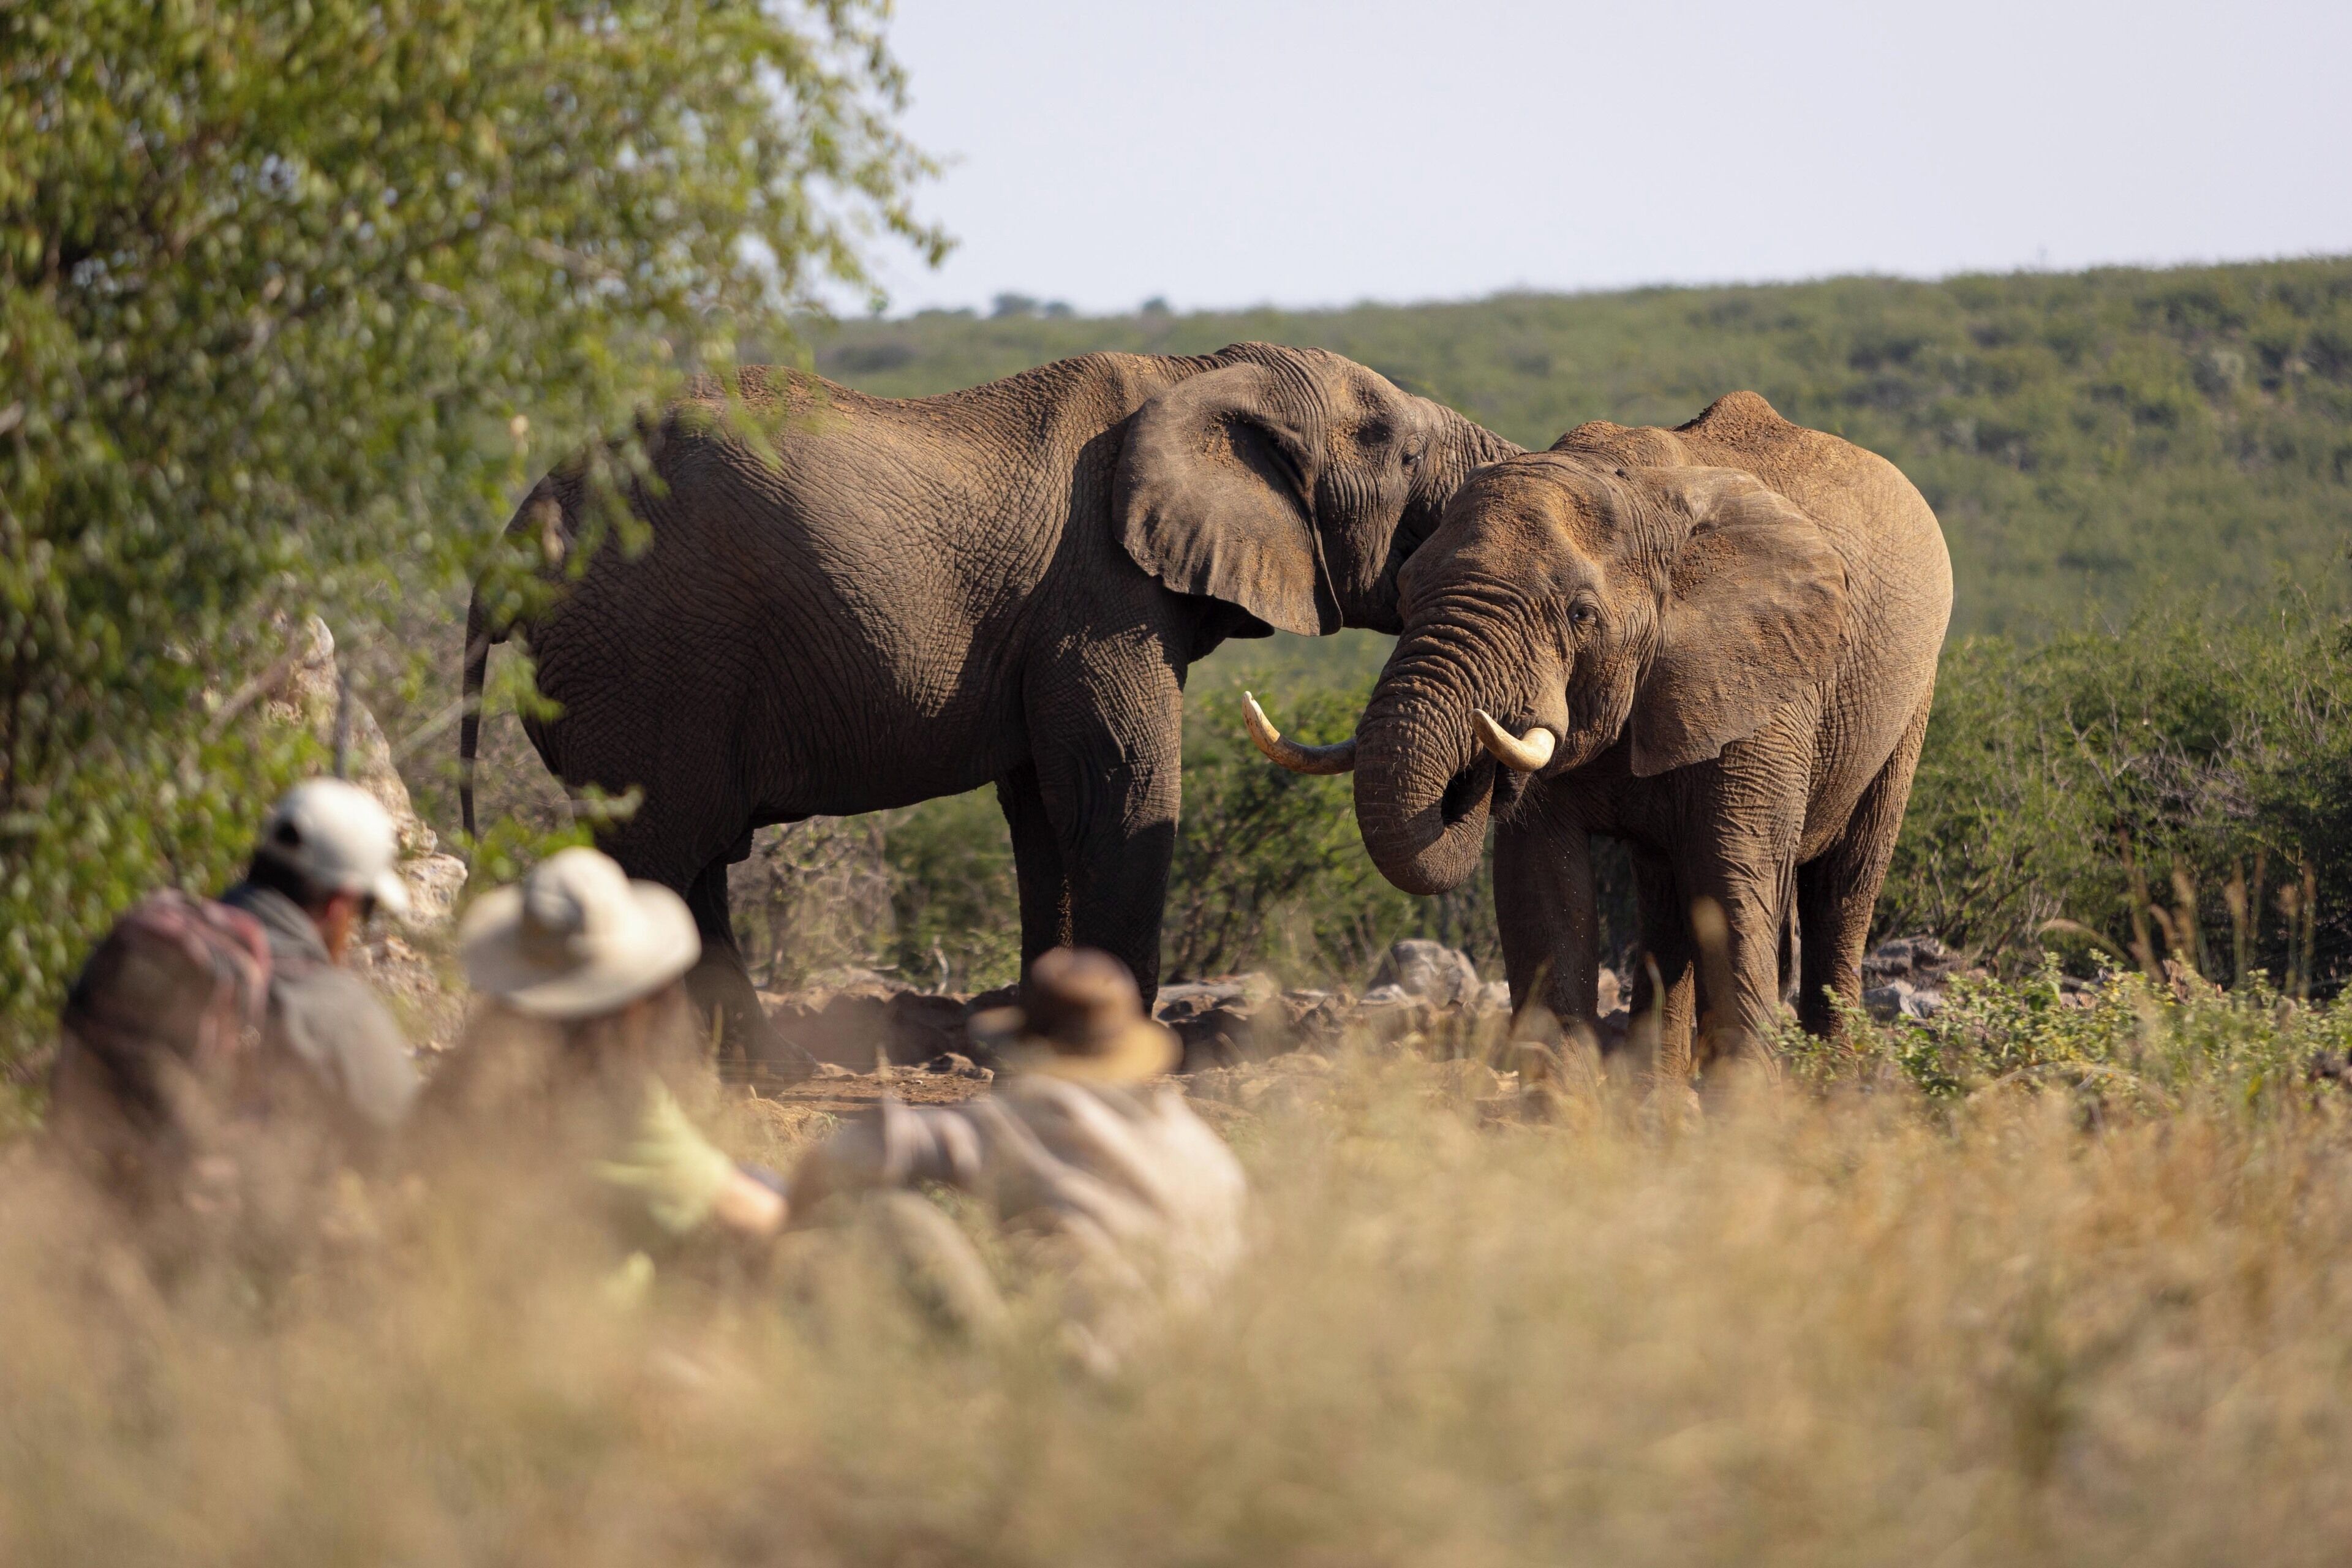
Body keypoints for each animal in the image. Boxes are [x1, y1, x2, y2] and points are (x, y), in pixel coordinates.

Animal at [459, 343, 1521, 1065]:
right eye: (1396, 447)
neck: (1202, 373)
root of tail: (532, 510)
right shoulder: (1100, 595)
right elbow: (1120, 791)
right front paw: (1135, 1057)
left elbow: (1044, 812)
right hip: (652, 654)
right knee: (660, 853)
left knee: (692, 867)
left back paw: (760, 1069)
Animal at [1245, 391, 1951, 1084]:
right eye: (1404, 590)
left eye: (1581, 614)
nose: (1478, 770)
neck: (1641, 492)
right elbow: (1541, 884)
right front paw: (1566, 1108)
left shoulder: (1758, 682)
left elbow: (1732, 877)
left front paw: (1746, 1109)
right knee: (1666, 897)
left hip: (1908, 701)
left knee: (1843, 889)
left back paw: (1832, 1091)